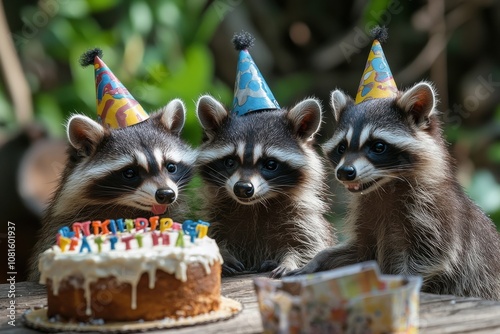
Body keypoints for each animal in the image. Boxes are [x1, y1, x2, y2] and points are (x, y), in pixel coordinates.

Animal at [195, 31, 336, 278]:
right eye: (230, 162)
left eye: (270, 164)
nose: (243, 188)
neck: (255, 205)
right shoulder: (215, 214)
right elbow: (211, 236)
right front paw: (223, 254)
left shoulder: (303, 218)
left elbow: (309, 245)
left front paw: (291, 261)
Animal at [288, 26, 500, 300]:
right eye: (342, 147)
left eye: (378, 147)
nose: (345, 172)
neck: (384, 188)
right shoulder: (367, 212)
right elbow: (359, 252)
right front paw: (317, 260)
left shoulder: (437, 211)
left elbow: (433, 256)